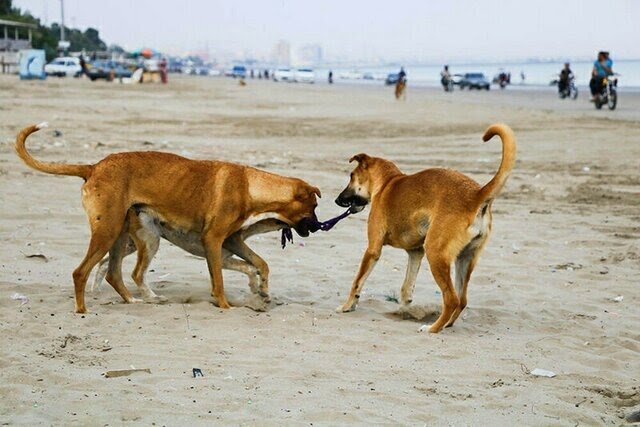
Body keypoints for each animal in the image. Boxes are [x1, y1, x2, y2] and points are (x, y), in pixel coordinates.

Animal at [16, 123, 320, 314]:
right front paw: (225, 305)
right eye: (315, 206)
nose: (319, 227)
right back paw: (83, 308)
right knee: (86, 271)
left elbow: (259, 264)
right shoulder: (214, 242)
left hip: (124, 236)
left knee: (113, 272)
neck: (250, 186)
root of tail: (93, 167)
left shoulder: (231, 241)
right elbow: (220, 280)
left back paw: (134, 300)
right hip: (114, 232)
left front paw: (261, 290)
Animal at [336, 123, 516, 334]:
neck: (388, 181)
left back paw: (433, 328)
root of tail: (476, 195)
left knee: (452, 299)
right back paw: (446, 324)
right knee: (462, 300)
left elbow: (357, 282)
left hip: (436, 253)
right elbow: (406, 290)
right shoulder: (415, 253)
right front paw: (404, 311)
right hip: (464, 259)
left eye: (351, 176)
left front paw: (347, 306)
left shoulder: (373, 249)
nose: (337, 200)